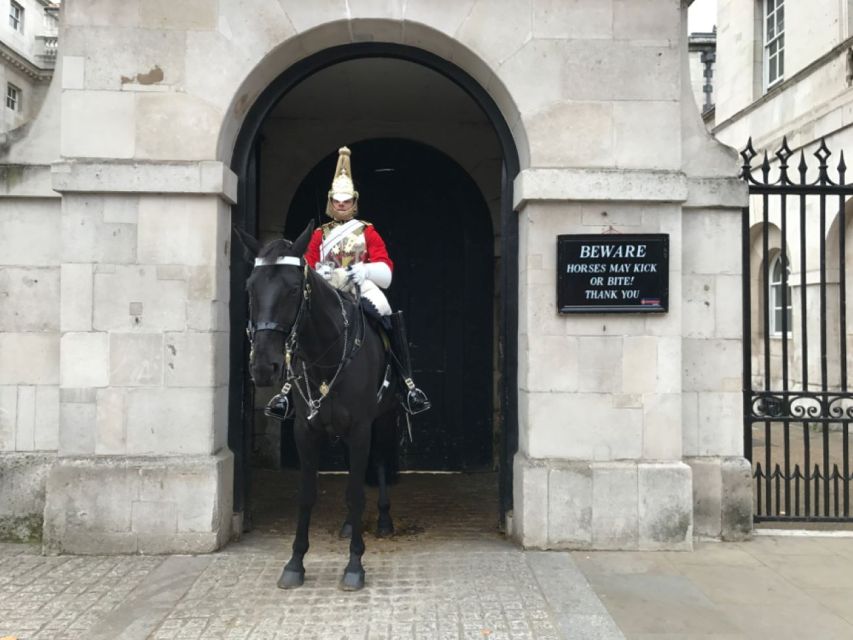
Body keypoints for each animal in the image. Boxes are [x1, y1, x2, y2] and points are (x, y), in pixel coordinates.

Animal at [235, 222, 402, 592]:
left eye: (294, 288)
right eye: (251, 287)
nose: (263, 367)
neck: (326, 354)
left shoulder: (361, 428)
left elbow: (356, 491)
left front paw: (354, 565)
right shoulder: (306, 430)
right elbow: (307, 494)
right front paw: (295, 563)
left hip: (384, 419)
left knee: (380, 463)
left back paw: (384, 519)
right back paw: (349, 524)